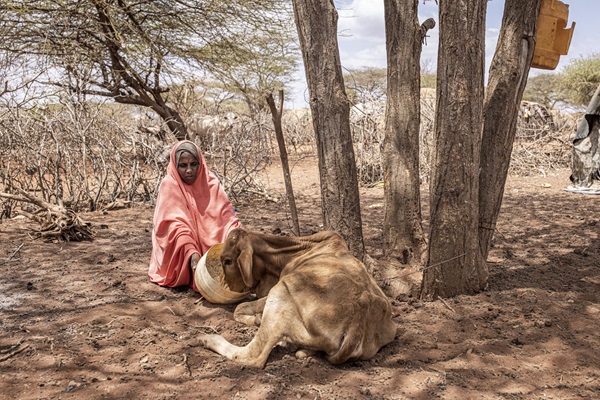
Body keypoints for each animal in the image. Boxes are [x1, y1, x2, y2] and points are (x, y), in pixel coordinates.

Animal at [198, 228, 398, 368]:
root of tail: (360, 314)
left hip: (282, 293)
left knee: (254, 356)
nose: (225, 286)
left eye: (227, 261)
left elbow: (239, 309)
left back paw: (207, 339)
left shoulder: (277, 286)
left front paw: (255, 319)